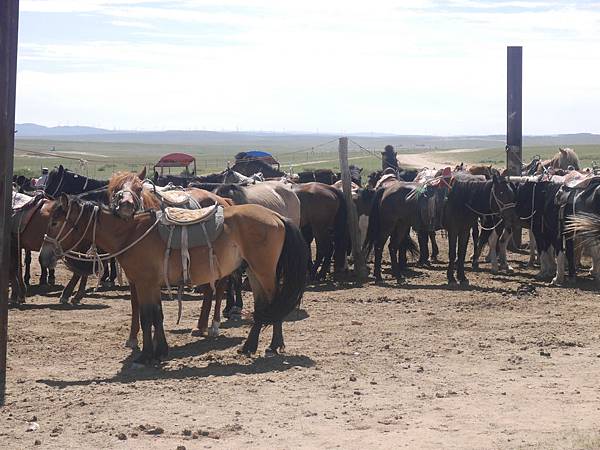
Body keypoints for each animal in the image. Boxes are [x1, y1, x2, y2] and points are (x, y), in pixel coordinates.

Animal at [41, 194, 310, 366]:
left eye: (55, 221)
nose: (44, 256)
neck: (130, 234)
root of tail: (276, 216)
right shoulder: (147, 284)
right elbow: (155, 316)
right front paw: (160, 351)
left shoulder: (146, 283)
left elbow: (147, 317)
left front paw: (146, 356)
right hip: (254, 272)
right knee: (264, 305)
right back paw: (249, 346)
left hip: (263, 271)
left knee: (274, 302)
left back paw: (273, 345)